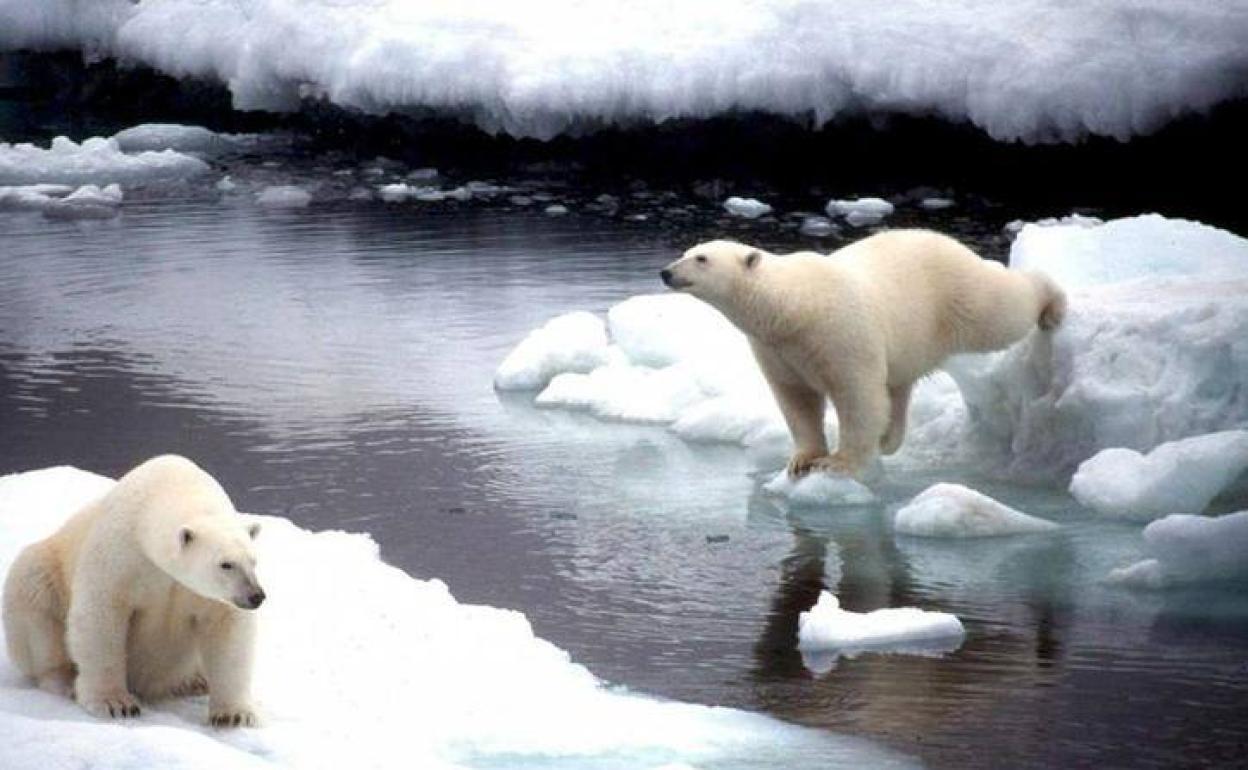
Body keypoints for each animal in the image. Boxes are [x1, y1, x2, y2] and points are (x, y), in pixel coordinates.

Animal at [3, 456, 267, 728]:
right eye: (226, 564)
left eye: (253, 561)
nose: (256, 596)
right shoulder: (121, 556)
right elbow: (100, 615)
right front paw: (115, 704)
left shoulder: (207, 596)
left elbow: (228, 630)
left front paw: (234, 714)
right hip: (44, 571)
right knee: (35, 600)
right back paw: (64, 680)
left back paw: (195, 681)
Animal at [658, 230, 1068, 476]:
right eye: (687, 252)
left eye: (702, 258)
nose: (665, 272)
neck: (793, 306)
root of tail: (951, 242)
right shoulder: (777, 348)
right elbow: (796, 399)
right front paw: (801, 459)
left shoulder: (840, 333)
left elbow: (857, 395)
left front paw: (838, 463)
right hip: (912, 336)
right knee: (899, 385)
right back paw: (890, 439)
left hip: (956, 296)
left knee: (1001, 311)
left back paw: (1052, 304)